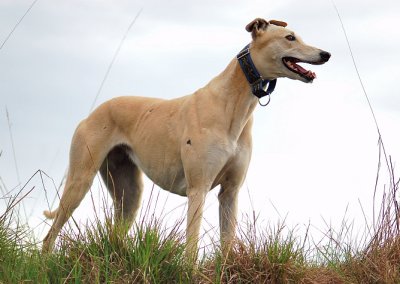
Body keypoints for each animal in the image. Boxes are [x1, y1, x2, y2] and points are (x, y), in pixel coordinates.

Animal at [42, 17, 332, 253]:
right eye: (290, 37)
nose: (326, 53)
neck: (231, 103)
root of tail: (93, 112)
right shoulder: (198, 189)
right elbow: (192, 245)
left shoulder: (230, 192)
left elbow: (227, 245)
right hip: (80, 180)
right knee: (49, 236)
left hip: (129, 194)